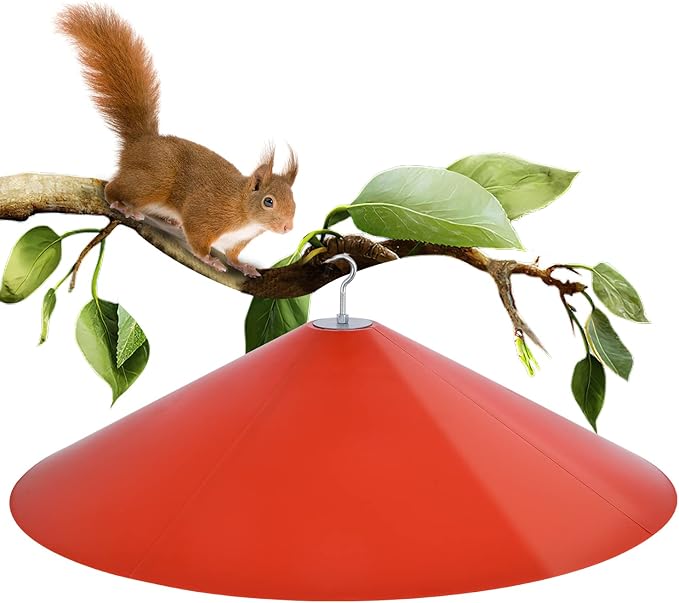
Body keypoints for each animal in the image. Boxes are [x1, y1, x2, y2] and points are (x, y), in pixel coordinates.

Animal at [56, 4, 297, 277]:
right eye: (268, 201)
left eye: (294, 198)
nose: (288, 227)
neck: (243, 210)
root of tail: (142, 142)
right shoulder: (204, 214)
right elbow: (198, 238)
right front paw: (209, 259)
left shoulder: (237, 241)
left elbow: (234, 256)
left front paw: (243, 266)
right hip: (153, 182)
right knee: (112, 188)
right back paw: (123, 205)